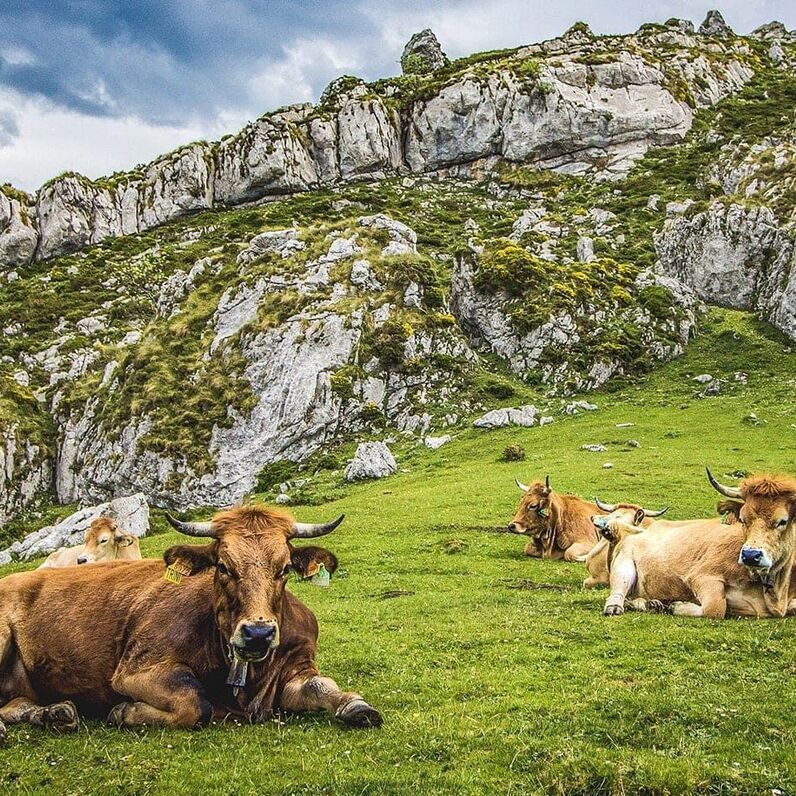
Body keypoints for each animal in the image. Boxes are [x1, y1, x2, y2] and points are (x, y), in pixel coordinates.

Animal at [0, 504, 382, 740]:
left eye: (284, 568)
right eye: (223, 567)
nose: (258, 633)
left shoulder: (295, 668)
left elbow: (321, 686)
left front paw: (357, 705)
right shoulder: (136, 669)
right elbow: (194, 701)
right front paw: (124, 711)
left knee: (15, 705)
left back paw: (55, 714)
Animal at [596, 470, 796, 620]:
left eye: (783, 521)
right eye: (743, 520)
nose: (750, 555)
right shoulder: (702, 576)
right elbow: (715, 607)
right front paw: (676, 606)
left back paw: (653, 604)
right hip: (624, 565)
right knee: (618, 593)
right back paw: (618, 606)